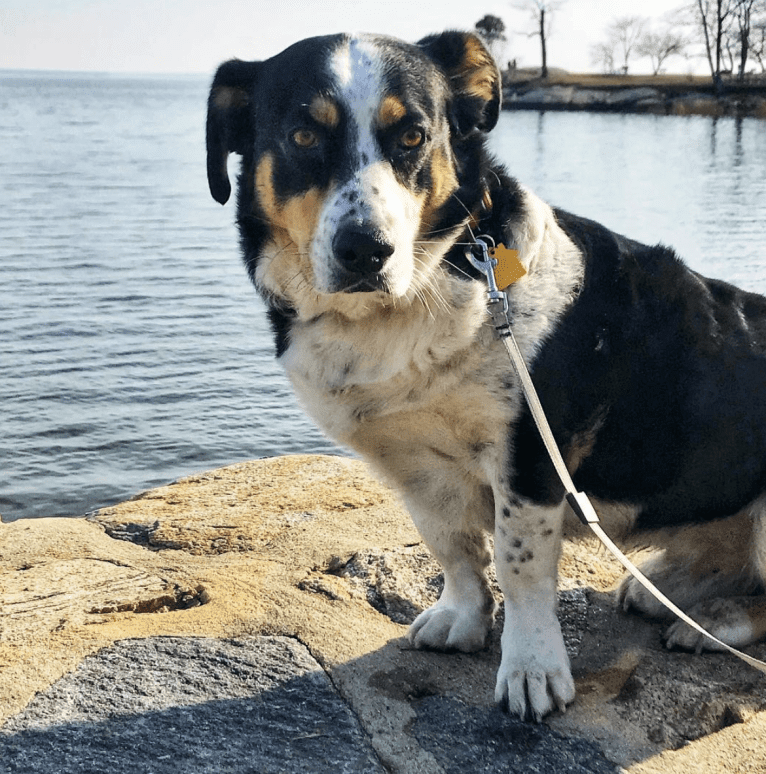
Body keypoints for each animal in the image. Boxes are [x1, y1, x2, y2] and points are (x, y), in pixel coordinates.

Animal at [204, 30, 766, 720]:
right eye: (303, 135)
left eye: (413, 136)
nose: (365, 250)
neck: (412, 300)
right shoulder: (416, 466)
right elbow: (452, 548)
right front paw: (464, 619)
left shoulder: (529, 457)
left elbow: (518, 564)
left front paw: (531, 669)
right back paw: (665, 587)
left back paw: (713, 621)